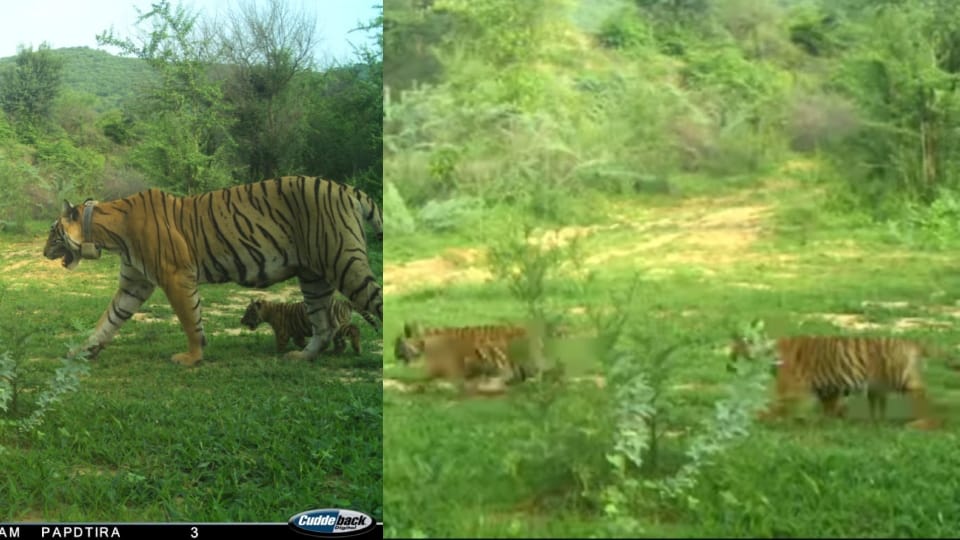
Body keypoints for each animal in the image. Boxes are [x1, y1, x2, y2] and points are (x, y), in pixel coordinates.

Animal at [241, 297, 377, 354]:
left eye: (248, 312)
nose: (241, 321)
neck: (269, 312)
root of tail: (344, 302)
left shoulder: (282, 333)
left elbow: (280, 344)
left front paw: (275, 353)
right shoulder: (297, 334)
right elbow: (300, 342)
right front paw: (308, 349)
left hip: (339, 326)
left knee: (354, 329)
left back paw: (357, 349)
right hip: (336, 331)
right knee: (341, 342)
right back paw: (334, 352)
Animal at [729, 325, 941, 429]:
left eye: (736, 351)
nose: (729, 365)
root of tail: (911, 342)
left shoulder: (791, 389)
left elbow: (776, 406)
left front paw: (761, 417)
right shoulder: (828, 388)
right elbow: (828, 406)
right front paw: (833, 418)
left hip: (899, 376)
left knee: (922, 392)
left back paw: (923, 423)